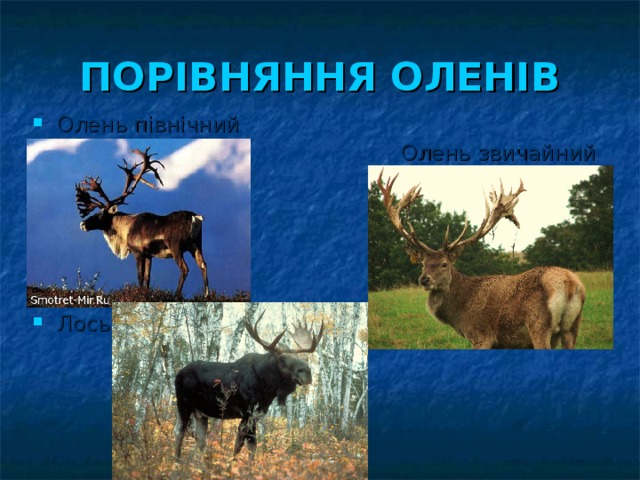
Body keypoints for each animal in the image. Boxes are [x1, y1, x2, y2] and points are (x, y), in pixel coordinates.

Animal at [75, 147, 209, 298]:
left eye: (100, 214)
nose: (82, 224)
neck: (124, 229)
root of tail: (196, 217)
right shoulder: (149, 255)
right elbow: (147, 277)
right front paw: (147, 294)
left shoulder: (138, 253)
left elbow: (139, 276)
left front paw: (138, 294)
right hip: (196, 245)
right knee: (203, 265)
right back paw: (206, 295)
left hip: (176, 247)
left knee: (185, 268)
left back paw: (176, 294)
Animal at [174, 311, 324, 459]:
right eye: (282, 359)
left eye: (300, 357)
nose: (307, 373)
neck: (267, 388)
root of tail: (178, 374)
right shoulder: (247, 413)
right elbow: (246, 446)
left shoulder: (256, 414)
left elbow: (244, 446)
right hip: (184, 404)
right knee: (179, 432)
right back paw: (177, 460)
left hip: (201, 413)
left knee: (200, 440)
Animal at [377, 170, 585, 349]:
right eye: (422, 264)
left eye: (445, 264)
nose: (424, 279)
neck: (460, 311)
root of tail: (569, 284)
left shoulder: (481, 335)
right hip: (572, 327)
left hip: (539, 324)